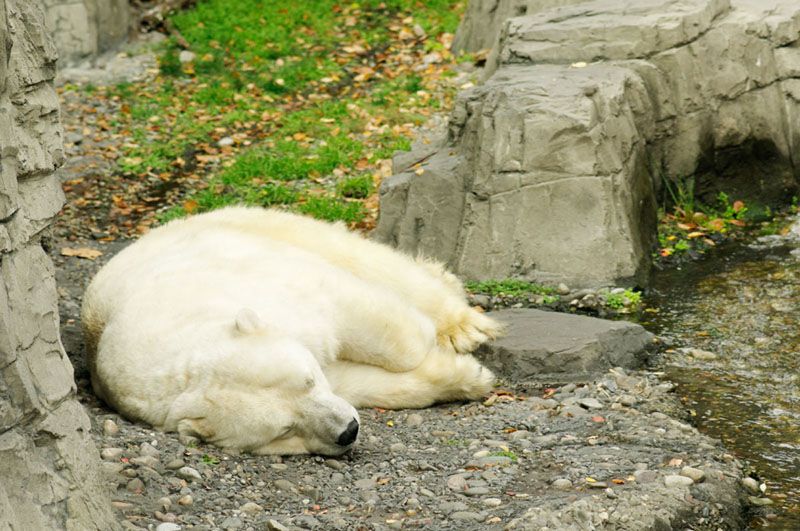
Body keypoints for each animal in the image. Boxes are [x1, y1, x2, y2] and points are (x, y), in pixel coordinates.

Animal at [82, 206, 503, 455]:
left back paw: (461, 321)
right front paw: (464, 376)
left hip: (253, 228)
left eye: (307, 380)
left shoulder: (277, 290)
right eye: (285, 430)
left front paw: (455, 357)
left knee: (366, 260)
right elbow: (356, 382)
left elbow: (372, 323)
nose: (348, 431)